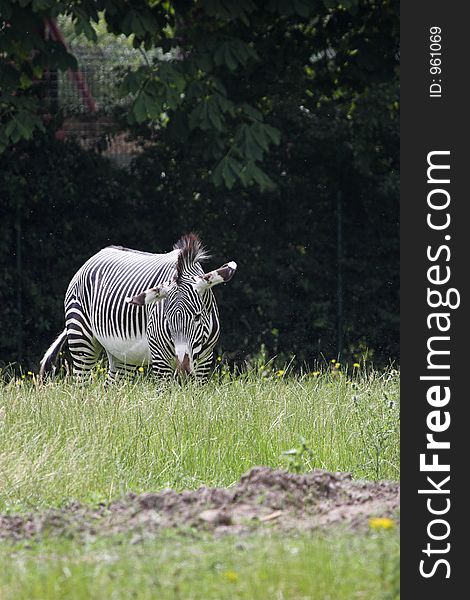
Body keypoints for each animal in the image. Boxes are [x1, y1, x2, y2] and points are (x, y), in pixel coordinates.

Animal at [39, 234, 239, 380]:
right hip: (81, 339)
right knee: (82, 383)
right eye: (167, 320)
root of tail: (94, 256)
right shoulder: (160, 359)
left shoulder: (205, 359)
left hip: (121, 355)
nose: (183, 370)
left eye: (197, 317)